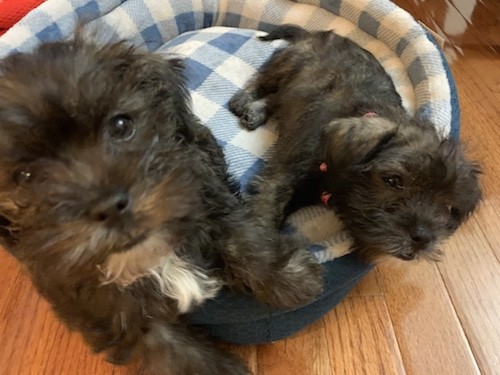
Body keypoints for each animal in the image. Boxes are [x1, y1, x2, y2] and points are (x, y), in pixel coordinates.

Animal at [0, 34, 324, 374]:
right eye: (24, 176)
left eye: (121, 125)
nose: (109, 206)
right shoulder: (120, 317)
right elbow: (181, 356)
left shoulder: (202, 194)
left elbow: (242, 238)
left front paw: (293, 277)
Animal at [229, 25, 480, 262]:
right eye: (393, 180)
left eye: (450, 208)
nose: (423, 237)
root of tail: (314, 33)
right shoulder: (280, 180)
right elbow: (265, 220)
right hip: (286, 65)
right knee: (262, 83)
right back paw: (243, 101)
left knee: (278, 98)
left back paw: (256, 111)